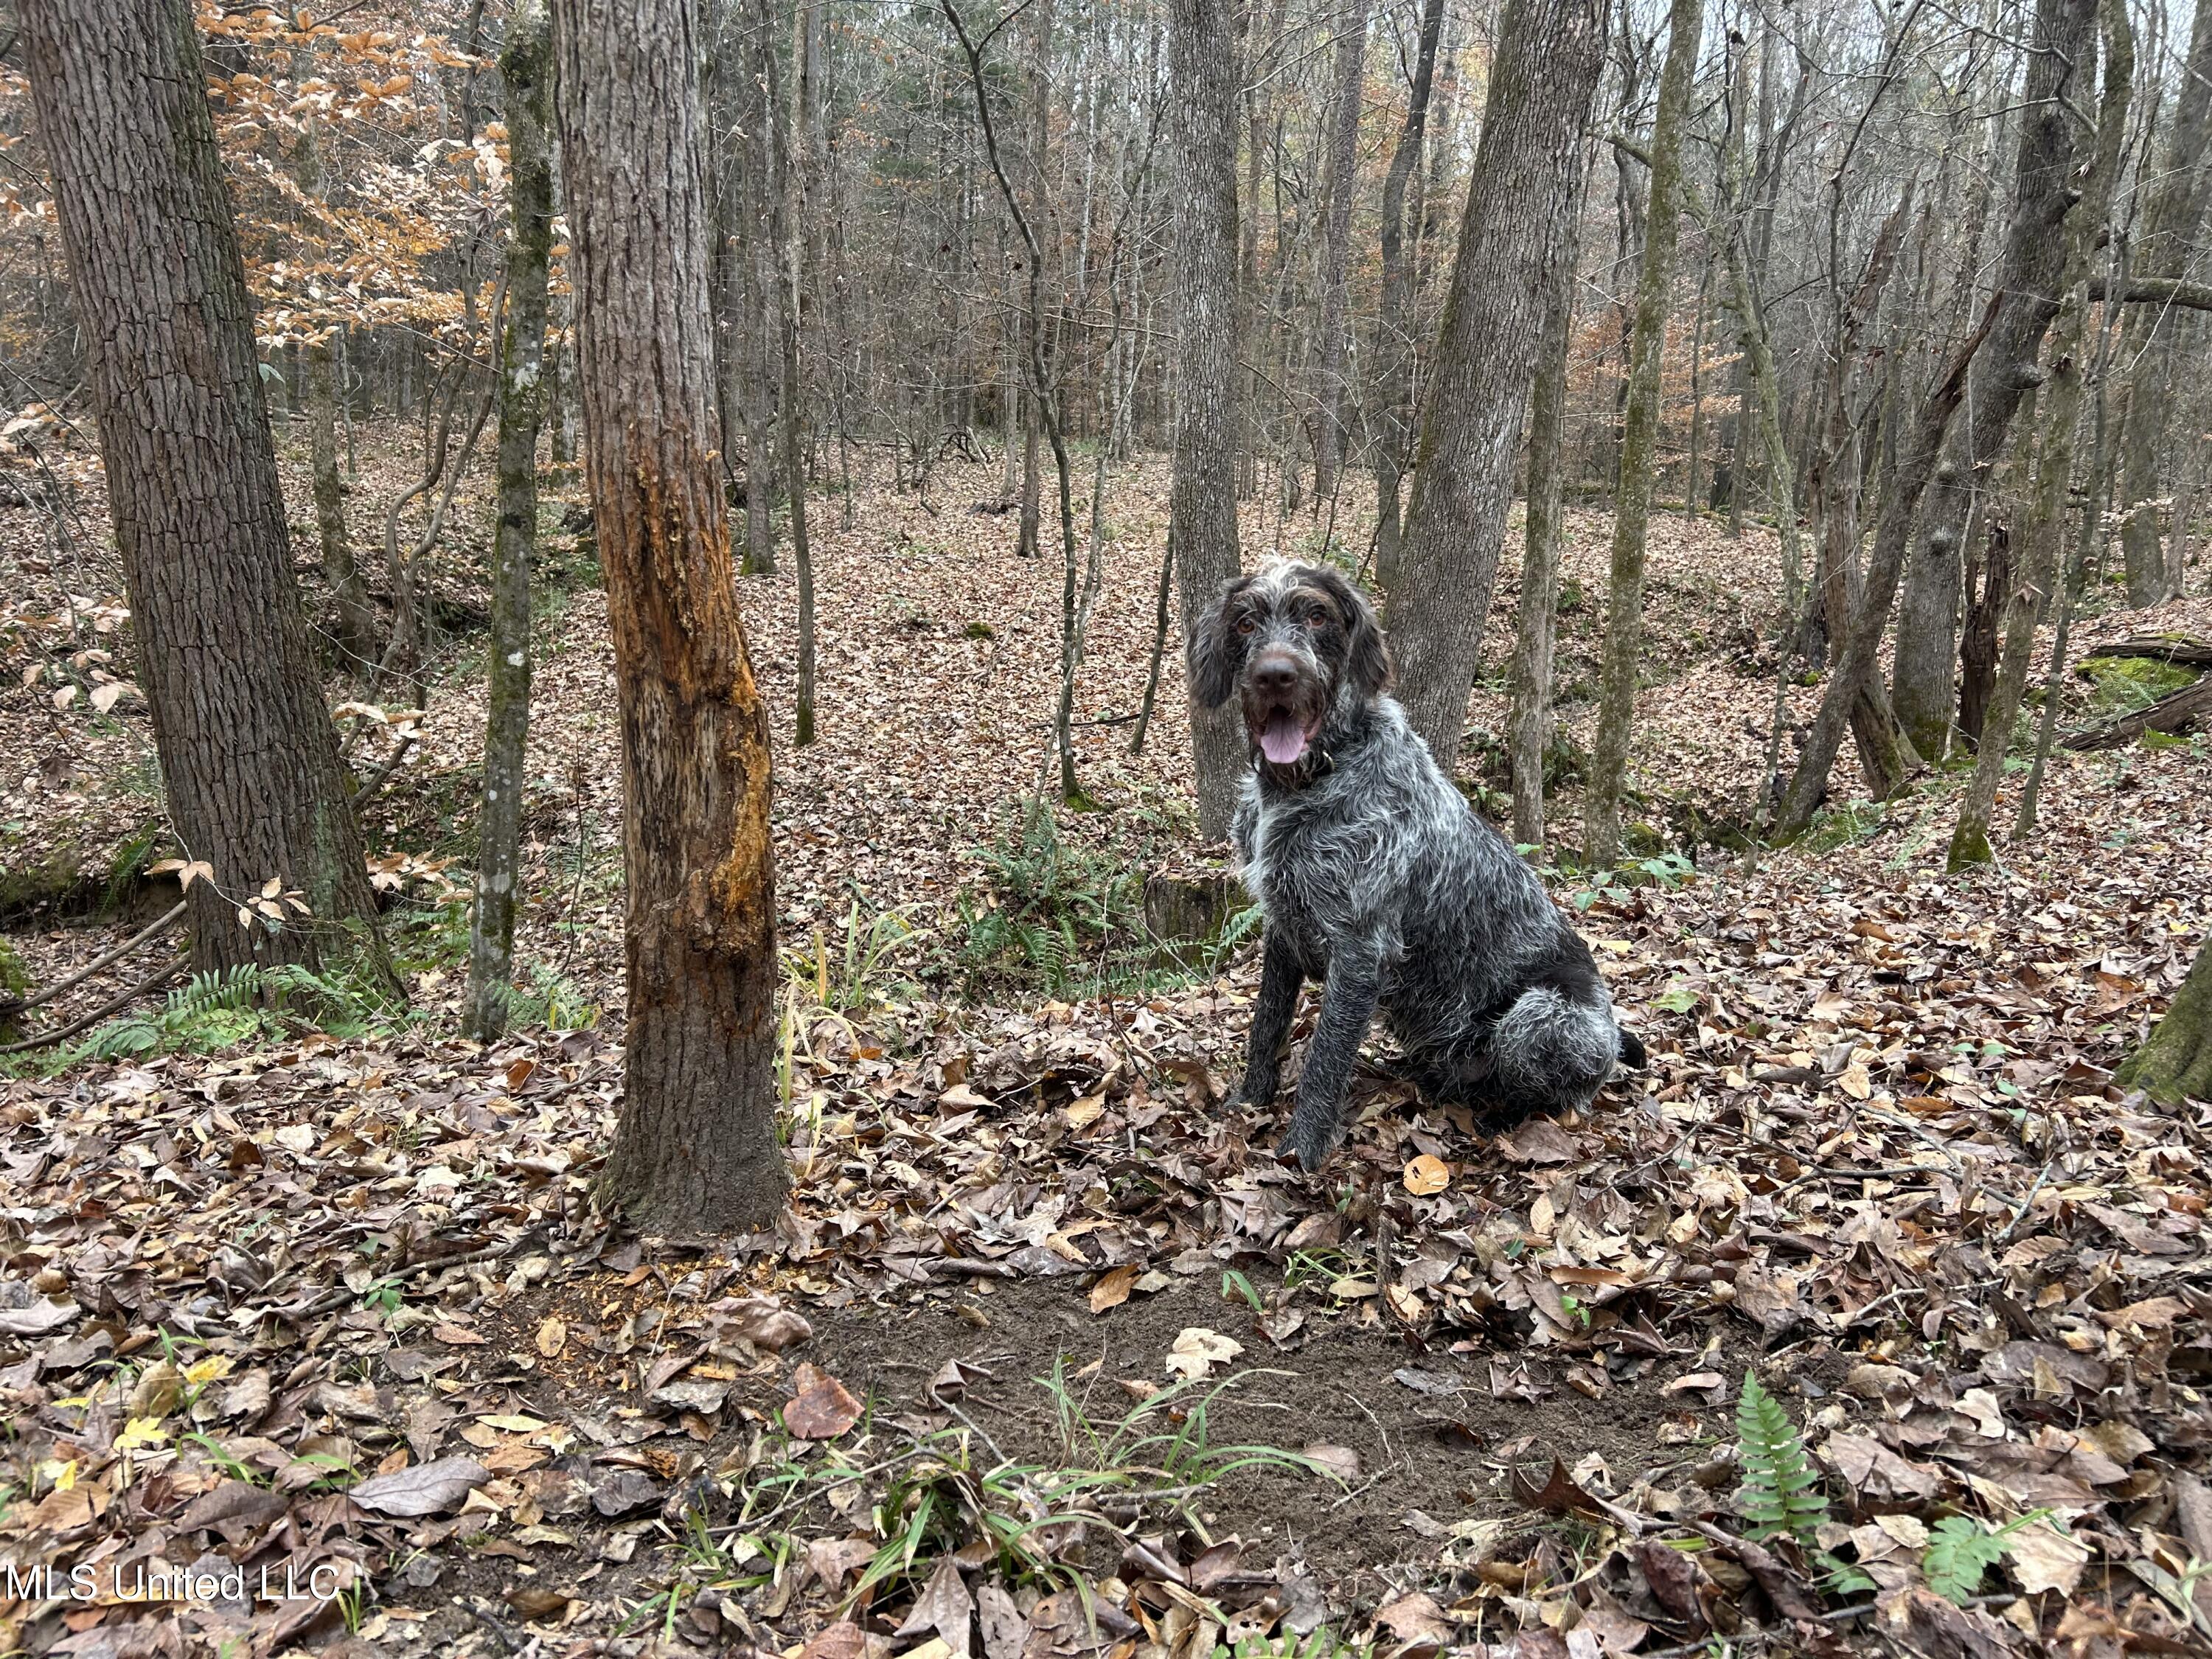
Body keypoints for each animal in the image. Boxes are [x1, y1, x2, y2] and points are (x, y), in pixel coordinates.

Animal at [1194, 566, 1646, 1177]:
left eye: (1316, 615)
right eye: (1245, 622)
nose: (1275, 677)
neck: (1311, 778)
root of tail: (1613, 1037)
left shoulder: (1361, 950)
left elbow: (1323, 1063)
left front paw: (1300, 1153)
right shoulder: (1282, 928)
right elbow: (1266, 1026)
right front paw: (1249, 1102)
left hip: (1540, 1016)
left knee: (1552, 1095)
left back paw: (1500, 1121)